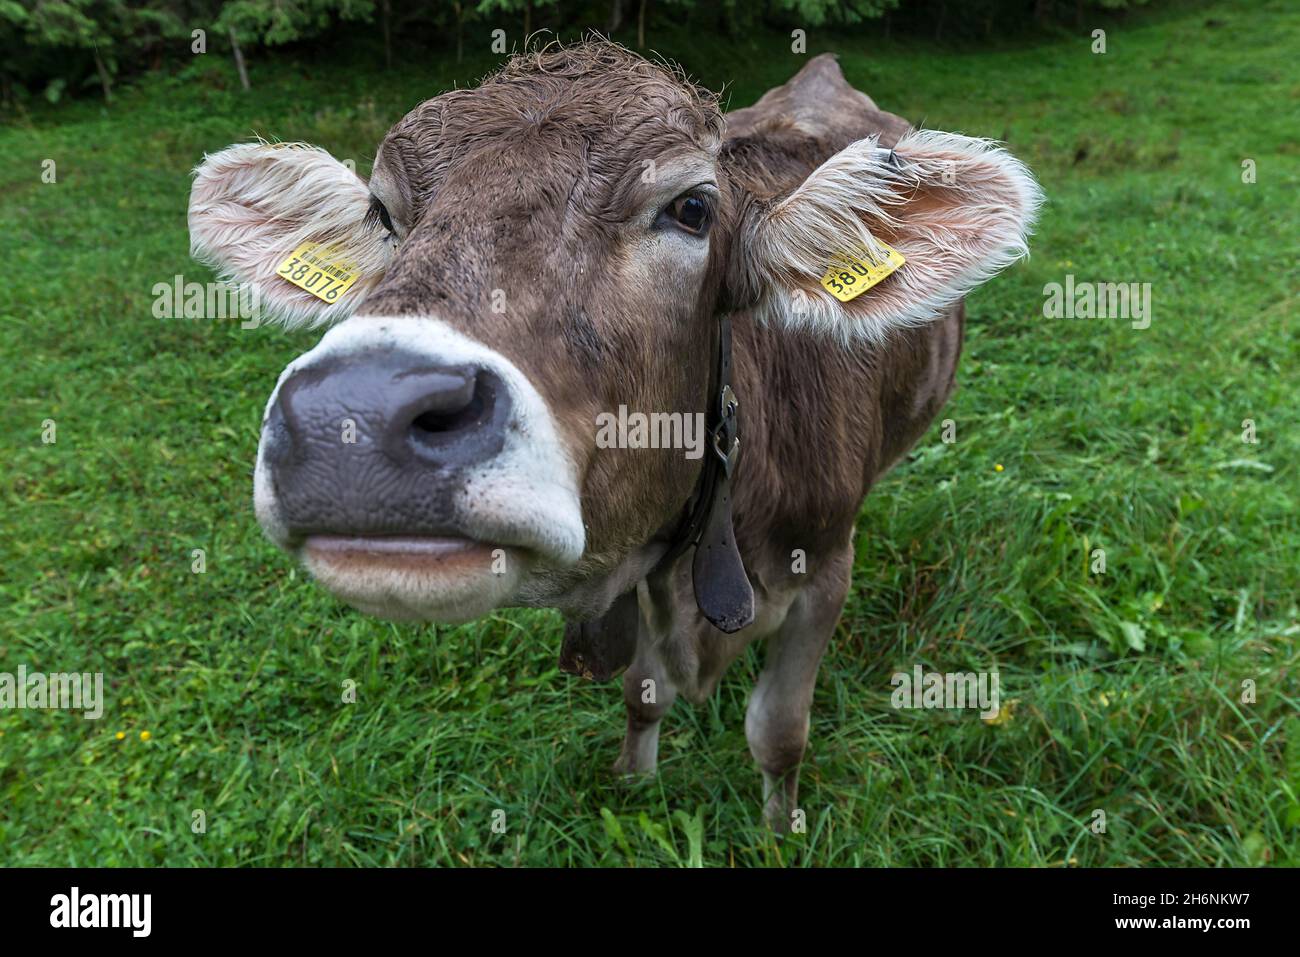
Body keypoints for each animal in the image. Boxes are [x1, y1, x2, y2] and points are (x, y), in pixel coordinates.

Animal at [188, 42, 1042, 831]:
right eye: (385, 216)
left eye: (693, 209)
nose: (353, 417)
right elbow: (642, 691)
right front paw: (634, 781)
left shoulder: (825, 567)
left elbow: (778, 731)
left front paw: (780, 827)